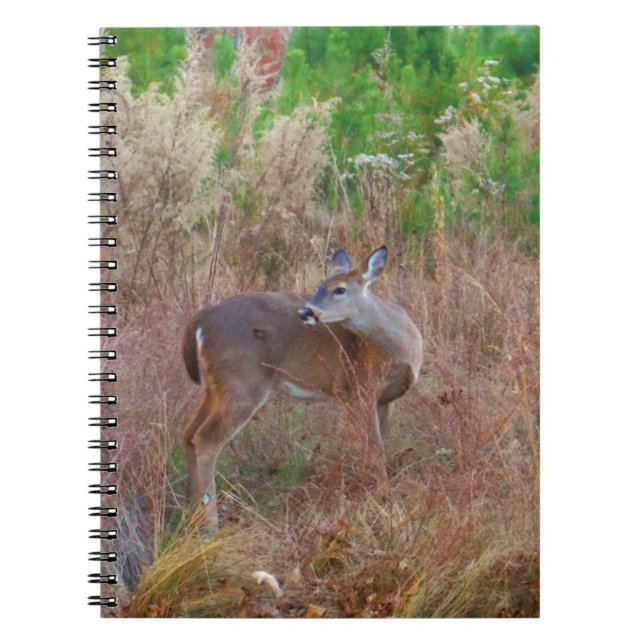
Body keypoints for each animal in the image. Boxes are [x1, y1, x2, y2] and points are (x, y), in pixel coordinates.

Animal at [181, 245, 423, 529]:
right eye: (320, 285)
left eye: (339, 289)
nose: (306, 312)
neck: (402, 349)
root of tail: (198, 324)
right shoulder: (357, 388)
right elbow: (374, 448)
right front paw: (384, 499)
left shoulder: (384, 399)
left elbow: (380, 443)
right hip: (243, 382)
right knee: (206, 440)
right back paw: (210, 524)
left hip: (215, 387)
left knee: (188, 434)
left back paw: (189, 515)